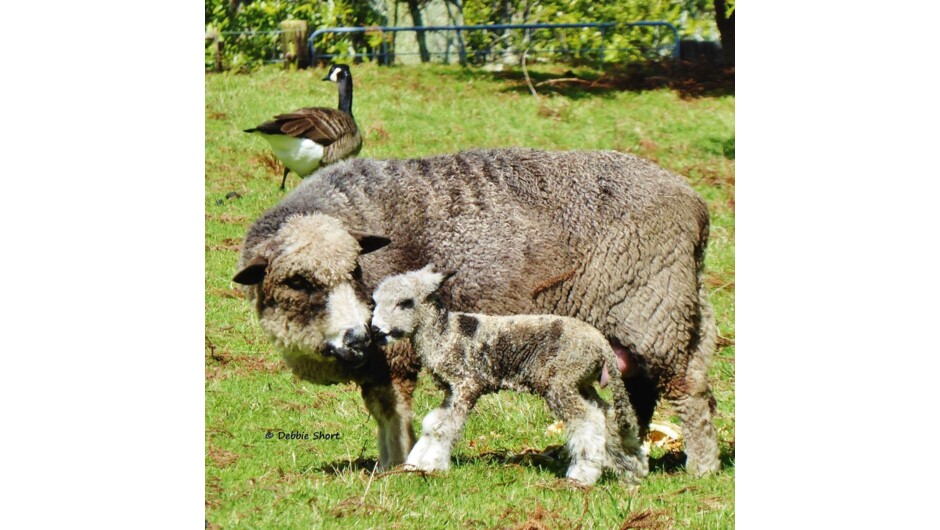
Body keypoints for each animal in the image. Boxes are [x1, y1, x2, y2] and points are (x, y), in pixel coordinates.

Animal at [370, 264, 648, 482]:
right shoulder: (452, 389)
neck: (445, 334)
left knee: (588, 420)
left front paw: (433, 466)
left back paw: (583, 474)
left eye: (405, 302)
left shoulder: (467, 384)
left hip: (562, 380)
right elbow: (432, 423)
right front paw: (414, 464)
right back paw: (629, 467)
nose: (375, 330)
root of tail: (601, 344)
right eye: (375, 302)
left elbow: (445, 428)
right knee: (607, 414)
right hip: (581, 381)